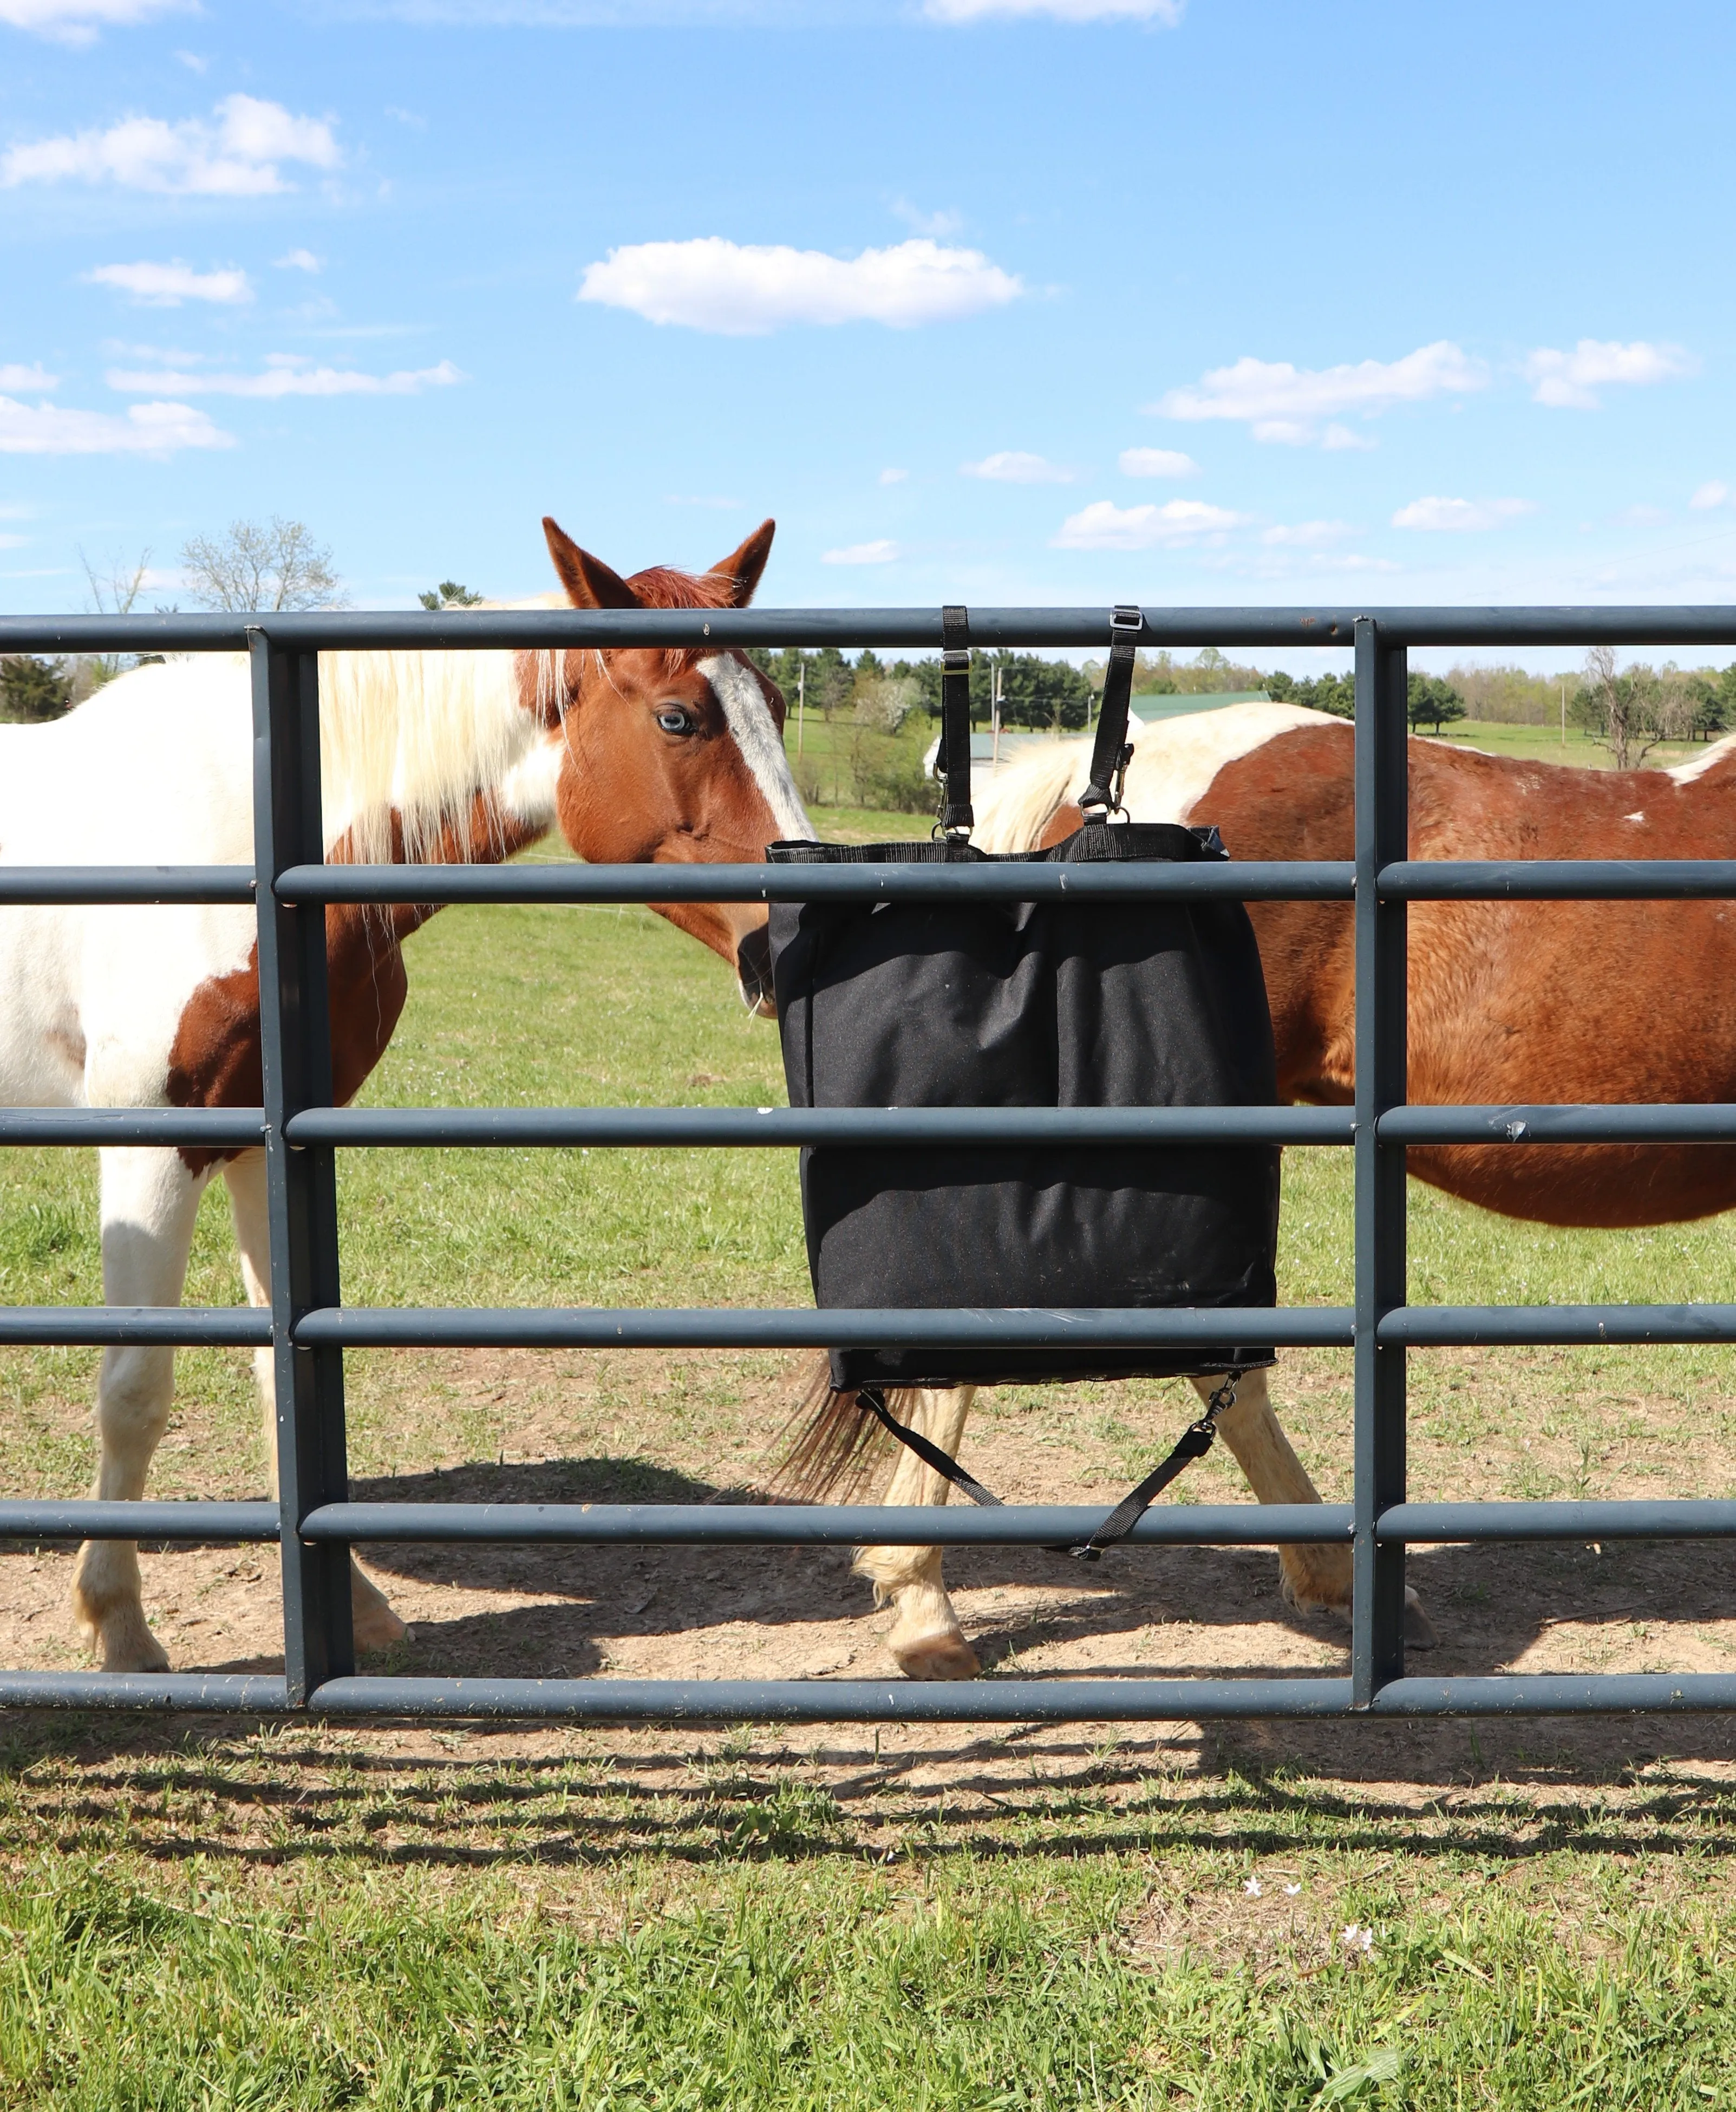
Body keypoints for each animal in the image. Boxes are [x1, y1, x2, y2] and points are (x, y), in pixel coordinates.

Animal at [0, 511, 815, 1664]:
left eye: (778, 706)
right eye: (679, 716)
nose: (795, 944)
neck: (251, 846)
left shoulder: (263, 1141)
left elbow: (285, 1373)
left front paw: (354, 1606)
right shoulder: (153, 1145)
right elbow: (134, 1390)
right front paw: (120, 1626)